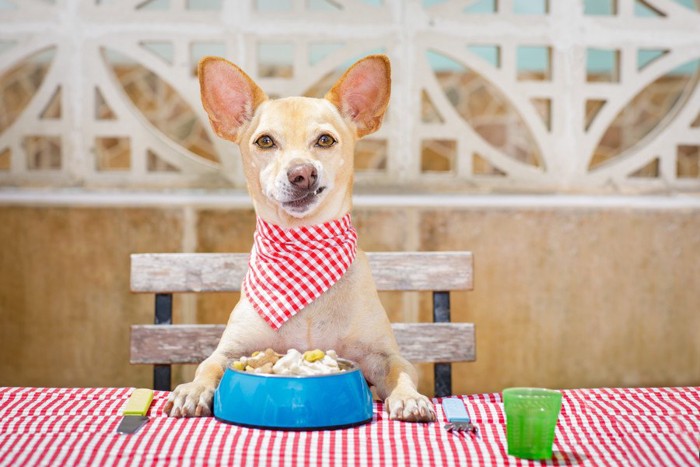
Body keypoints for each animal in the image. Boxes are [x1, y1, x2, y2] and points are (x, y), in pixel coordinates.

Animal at [165, 54, 434, 424]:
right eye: (265, 141)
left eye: (325, 140)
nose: (302, 173)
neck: (302, 245)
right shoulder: (230, 350)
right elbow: (208, 367)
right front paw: (192, 390)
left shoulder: (383, 355)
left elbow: (401, 371)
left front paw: (408, 398)